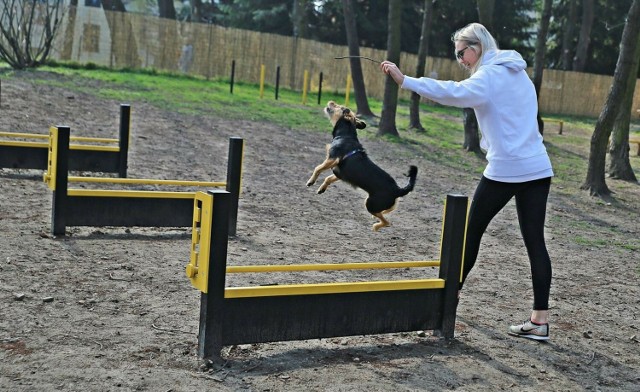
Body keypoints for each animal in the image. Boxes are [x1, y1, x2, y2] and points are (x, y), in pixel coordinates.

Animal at [306, 99, 420, 231]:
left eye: (340, 107)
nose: (331, 101)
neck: (345, 135)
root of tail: (397, 190)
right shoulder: (340, 173)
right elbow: (328, 178)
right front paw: (321, 188)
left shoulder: (332, 159)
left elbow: (318, 168)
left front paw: (311, 182)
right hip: (381, 204)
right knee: (387, 211)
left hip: (370, 204)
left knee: (387, 222)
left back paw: (376, 226)